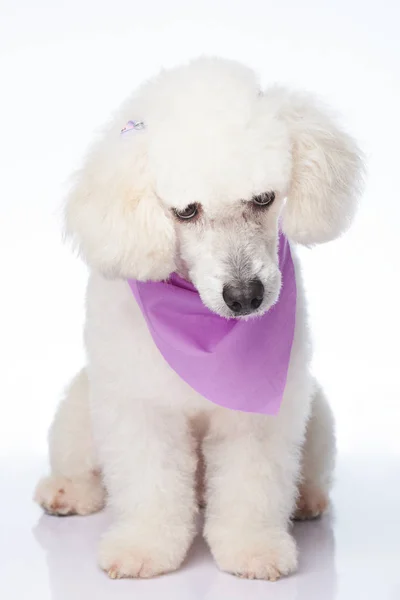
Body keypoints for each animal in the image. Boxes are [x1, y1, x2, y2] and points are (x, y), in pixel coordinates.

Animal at [36, 57, 364, 580]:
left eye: (264, 198)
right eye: (186, 211)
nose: (245, 296)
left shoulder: (258, 414)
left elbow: (253, 484)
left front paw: (253, 547)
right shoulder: (141, 404)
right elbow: (150, 483)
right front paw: (145, 547)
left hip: (317, 414)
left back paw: (305, 500)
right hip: (80, 403)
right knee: (80, 460)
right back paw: (68, 491)